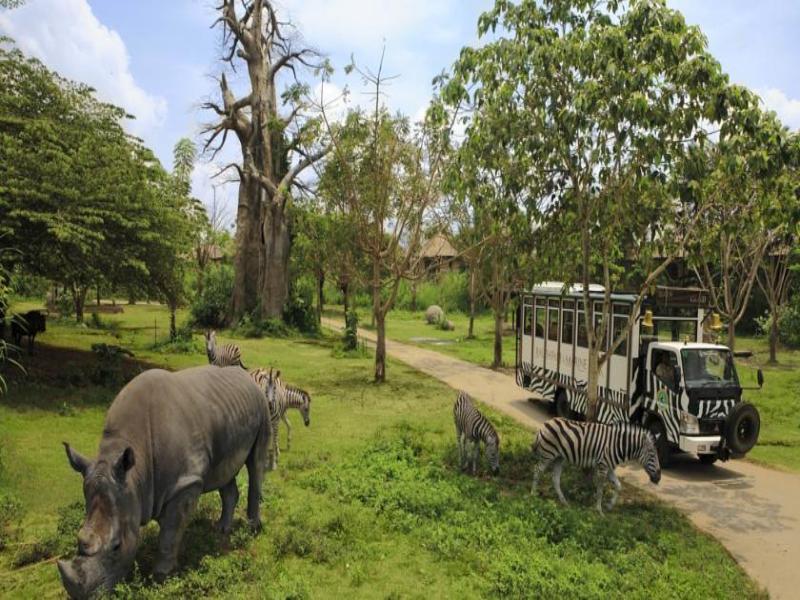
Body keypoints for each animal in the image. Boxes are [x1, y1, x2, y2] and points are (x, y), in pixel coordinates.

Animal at [532, 420, 664, 512]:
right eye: (652, 455)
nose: (658, 478)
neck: (617, 445)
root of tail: (545, 423)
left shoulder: (609, 468)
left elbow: (619, 486)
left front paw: (609, 506)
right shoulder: (603, 466)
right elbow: (600, 490)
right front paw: (599, 510)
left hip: (559, 458)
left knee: (555, 479)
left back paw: (564, 502)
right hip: (548, 455)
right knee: (537, 471)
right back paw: (532, 495)